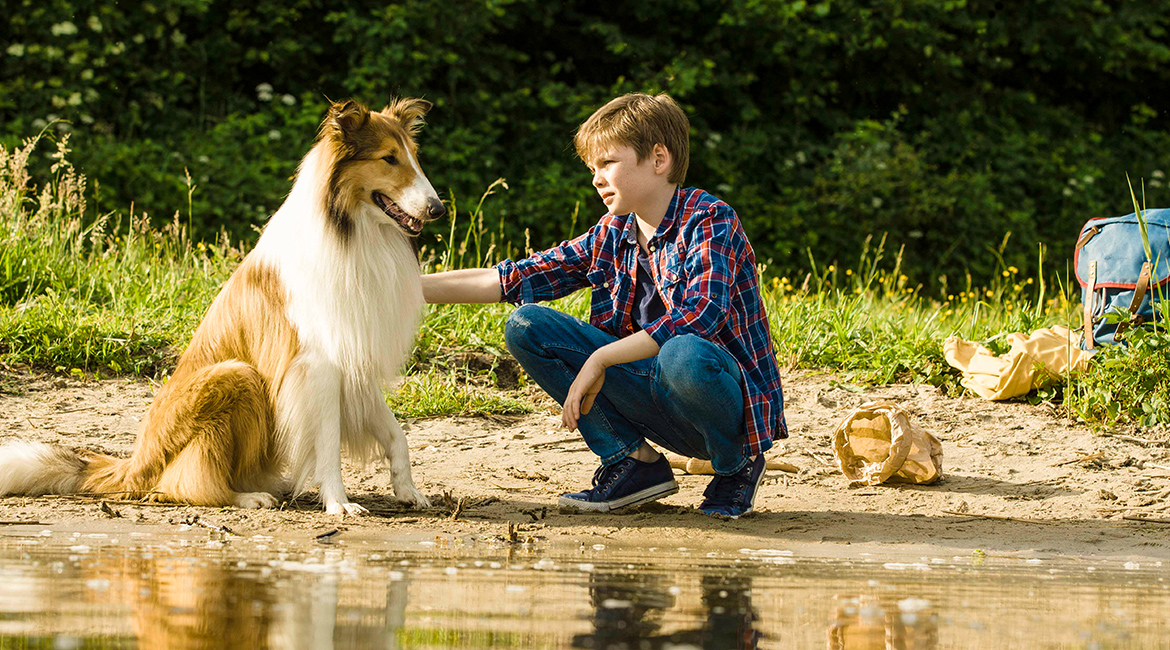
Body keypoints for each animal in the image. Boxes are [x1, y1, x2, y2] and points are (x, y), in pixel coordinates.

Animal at [0, 97, 442, 512]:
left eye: (414, 156)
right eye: (388, 158)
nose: (438, 208)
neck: (353, 232)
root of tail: (136, 464)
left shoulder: (356, 360)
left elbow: (396, 433)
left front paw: (408, 491)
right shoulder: (318, 362)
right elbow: (328, 445)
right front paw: (339, 503)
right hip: (234, 375)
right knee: (185, 483)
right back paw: (248, 497)